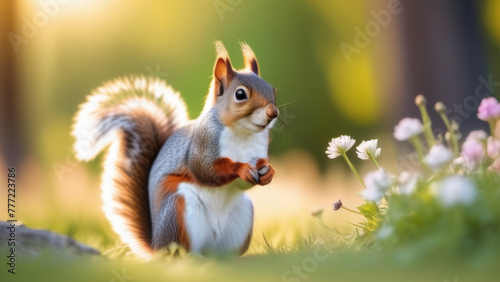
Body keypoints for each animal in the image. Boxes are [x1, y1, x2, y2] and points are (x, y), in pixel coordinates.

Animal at [72, 40, 280, 258]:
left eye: (273, 90)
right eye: (240, 94)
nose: (273, 113)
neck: (242, 133)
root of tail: (156, 245)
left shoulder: (257, 150)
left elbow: (250, 174)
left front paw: (269, 172)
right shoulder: (202, 145)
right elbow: (206, 170)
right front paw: (241, 168)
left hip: (241, 216)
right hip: (180, 210)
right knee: (178, 253)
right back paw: (192, 258)